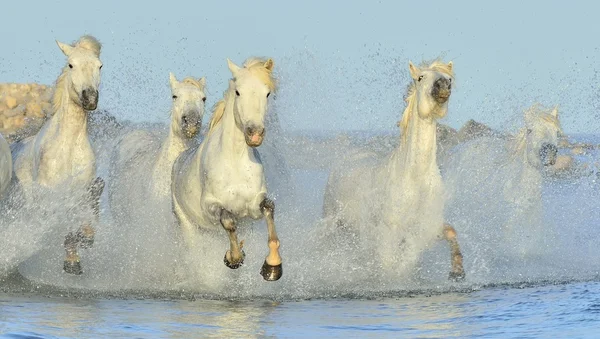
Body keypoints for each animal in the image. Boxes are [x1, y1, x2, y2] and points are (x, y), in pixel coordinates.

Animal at [10, 36, 103, 276]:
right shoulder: (50, 193)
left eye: (99, 66)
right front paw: (72, 259)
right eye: (71, 64)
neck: (67, 147)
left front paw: (84, 241)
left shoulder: (82, 185)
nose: (90, 98)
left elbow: (89, 202)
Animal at [171, 57, 284, 282]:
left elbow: (269, 208)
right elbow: (228, 220)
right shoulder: (210, 205)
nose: (255, 134)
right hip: (189, 225)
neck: (235, 161)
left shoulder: (253, 207)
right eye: (238, 92)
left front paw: (272, 265)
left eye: (267, 93)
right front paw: (233, 258)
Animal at [326, 59, 466, 280]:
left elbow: (447, 233)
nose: (443, 85)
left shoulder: (426, 227)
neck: (415, 177)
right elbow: (391, 266)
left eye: (449, 79)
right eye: (420, 77)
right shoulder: (388, 233)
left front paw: (457, 271)